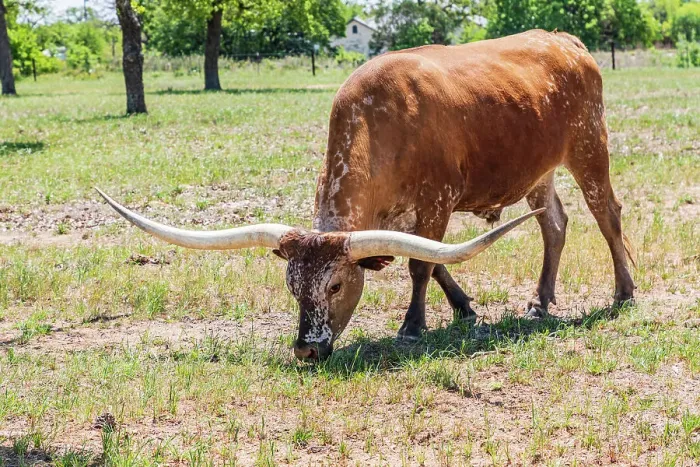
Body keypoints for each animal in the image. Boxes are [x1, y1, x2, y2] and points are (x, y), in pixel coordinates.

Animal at [98, 29, 635, 361]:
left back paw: (623, 292)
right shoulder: (397, 219)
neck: (382, 122)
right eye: (291, 285)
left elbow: (421, 265)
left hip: (590, 147)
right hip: (537, 172)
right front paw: (464, 308)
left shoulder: (437, 200)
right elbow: (436, 261)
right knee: (554, 225)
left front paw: (412, 326)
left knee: (607, 216)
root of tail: (565, 41)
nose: (307, 349)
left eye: (336, 286)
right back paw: (540, 301)